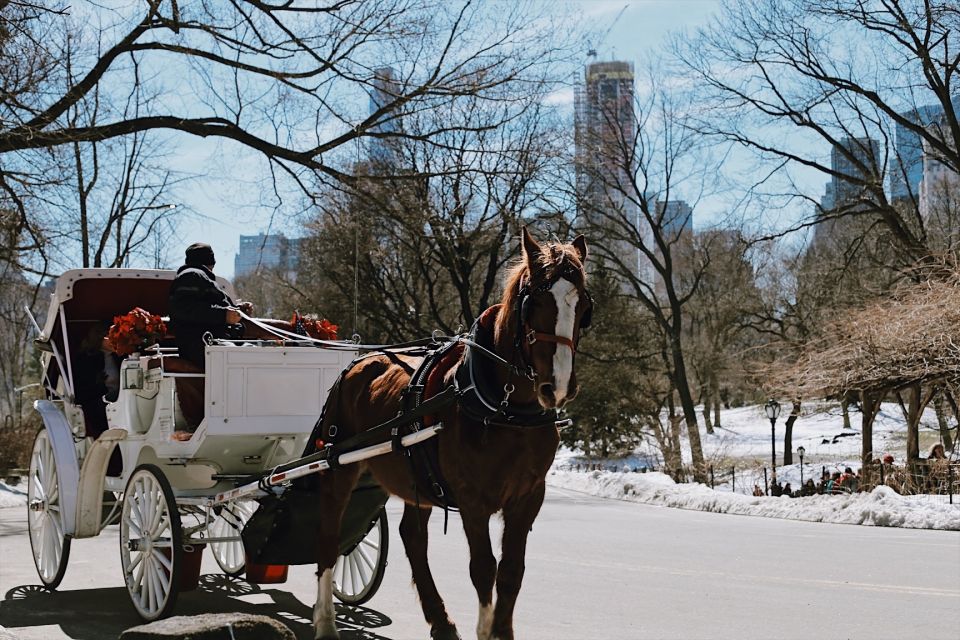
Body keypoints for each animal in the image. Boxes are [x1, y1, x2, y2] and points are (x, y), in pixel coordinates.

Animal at [312, 228, 588, 636]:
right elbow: (483, 569)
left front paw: (500, 631)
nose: (559, 385)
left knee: (412, 537)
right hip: (339, 467)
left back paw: (439, 620)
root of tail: (358, 362)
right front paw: (486, 629)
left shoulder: (528, 497)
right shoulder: (473, 500)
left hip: (416, 478)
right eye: (535, 301)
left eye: (584, 308)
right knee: (330, 536)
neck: (505, 407)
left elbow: (511, 572)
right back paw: (326, 621)